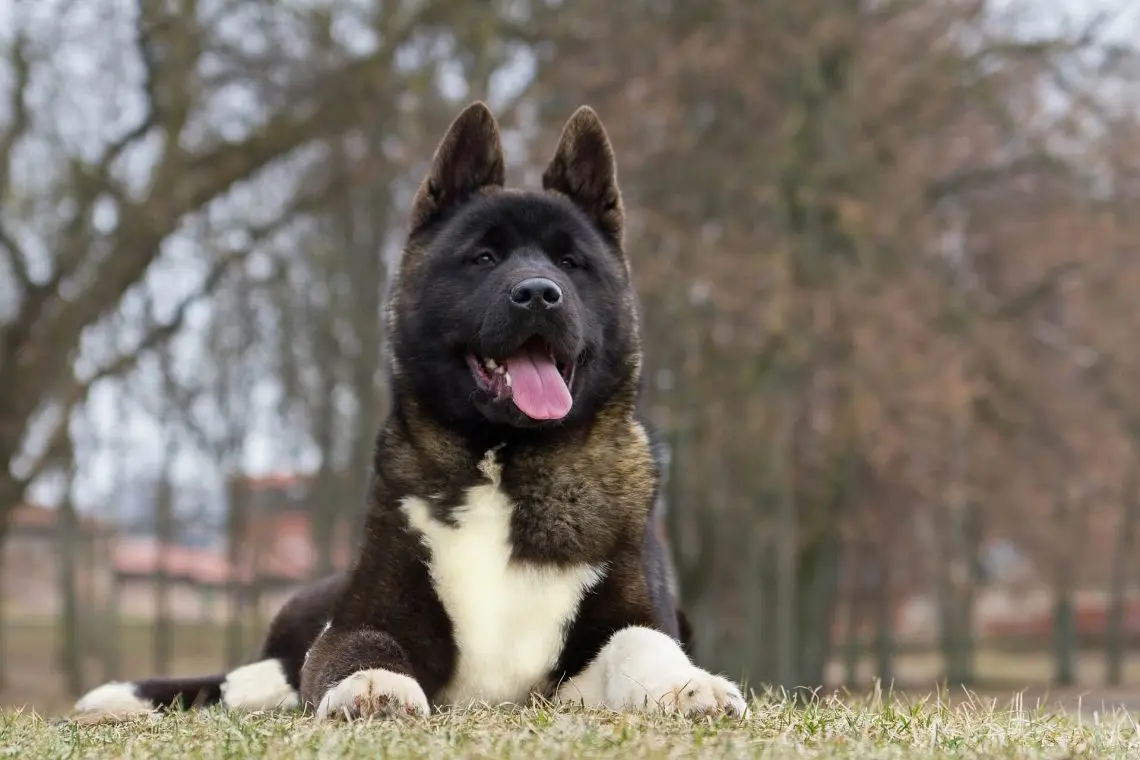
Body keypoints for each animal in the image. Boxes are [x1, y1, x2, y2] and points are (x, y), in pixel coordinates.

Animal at [71, 104, 747, 724]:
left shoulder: (612, 639)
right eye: (483, 258)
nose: (538, 293)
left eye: (570, 262)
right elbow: (361, 646)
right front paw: (372, 687)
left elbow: (641, 641)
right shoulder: (362, 616)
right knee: (253, 678)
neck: (502, 462)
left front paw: (690, 687)